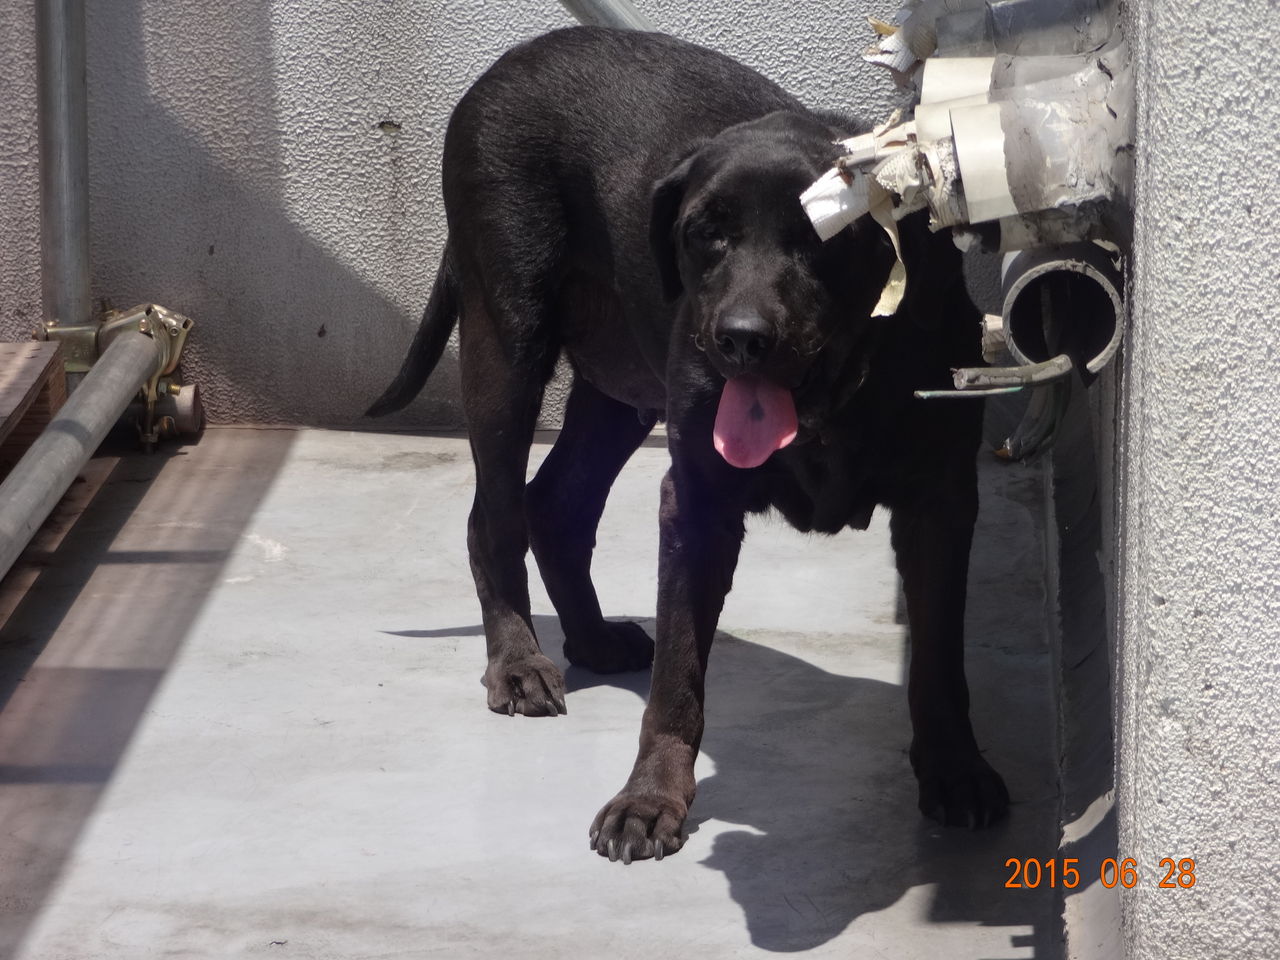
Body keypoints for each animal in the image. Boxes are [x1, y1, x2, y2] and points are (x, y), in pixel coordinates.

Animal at [368, 26, 1009, 863]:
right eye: (707, 234)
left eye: (823, 241)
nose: (739, 338)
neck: (837, 393)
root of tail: (508, 60)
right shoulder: (698, 500)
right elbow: (677, 679)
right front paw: (650, 799)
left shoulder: (940, 502)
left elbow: (939, 660)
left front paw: (956, 770)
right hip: (506, 339)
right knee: (495, 516)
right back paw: (517, 662)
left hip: (621, 386)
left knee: (558, 505)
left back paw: (591, 639)